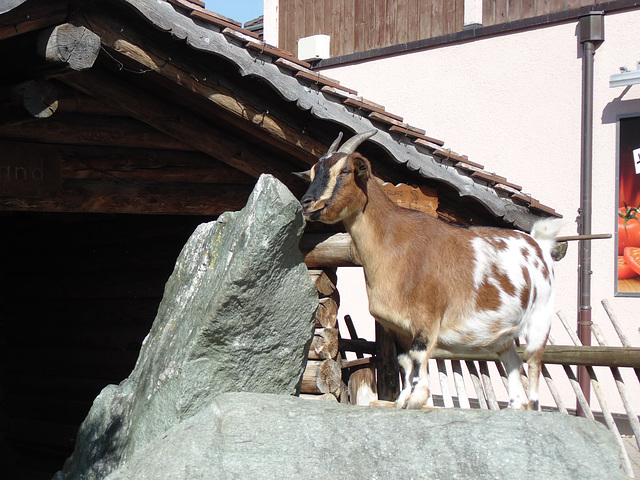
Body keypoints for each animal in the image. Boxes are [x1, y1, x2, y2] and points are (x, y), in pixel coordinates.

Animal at [298, 130, 564, 408]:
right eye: (313, 172)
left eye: (345, 170)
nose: (307, 202)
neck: (396, 243)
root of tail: (539, 244)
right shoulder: (397, 327)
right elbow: (404, 361)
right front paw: (403, 400)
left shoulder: (427, 318)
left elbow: (419, 357)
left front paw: (418, 397)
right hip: (504, 336)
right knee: (513, 363)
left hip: (540, 318)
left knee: (533, 361)